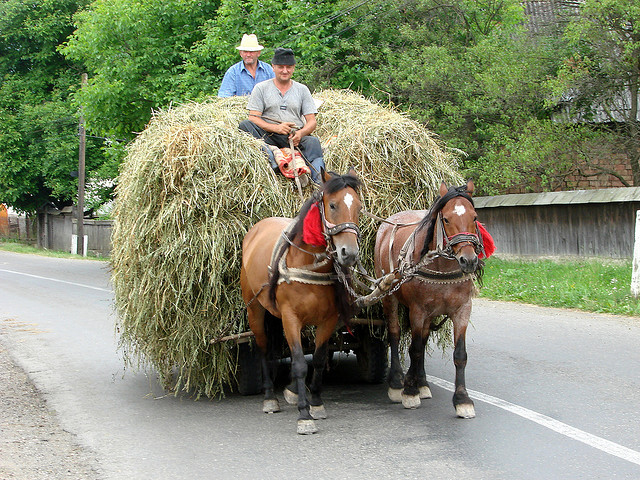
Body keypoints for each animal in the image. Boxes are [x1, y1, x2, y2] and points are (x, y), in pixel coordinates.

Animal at [240, 169, 360, 436]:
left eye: (358, 206)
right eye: (332, 205)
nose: (349, 253)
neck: (308, 263)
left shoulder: (328, 320)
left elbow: (318, 359)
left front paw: (315, 403)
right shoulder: (291, 318)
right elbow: (299, 364)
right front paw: (304, 415)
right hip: (255, 309)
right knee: (263, 348)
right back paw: (269, 397)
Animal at [372, 178, 482, 418]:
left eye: (474, 217)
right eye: (447, 219)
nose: (469, 260)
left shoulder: (462, 310)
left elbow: (459, 354)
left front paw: (462, 400)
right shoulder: (417, 310)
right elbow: (413, 349)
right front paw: (409, 391)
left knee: (421, 341)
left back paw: (421, 382)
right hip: (389, 298)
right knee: (395, 334)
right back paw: (398, 383)